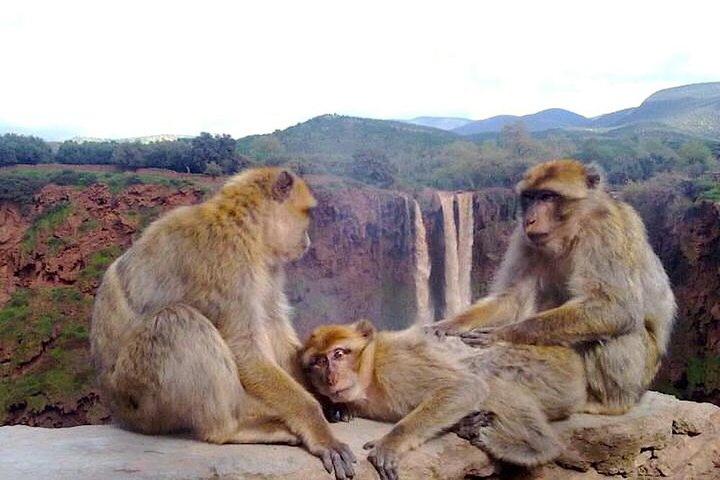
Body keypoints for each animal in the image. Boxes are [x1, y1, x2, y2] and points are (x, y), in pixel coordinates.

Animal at [91, 168, 356, 480]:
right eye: (307, 213)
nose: (307, 240)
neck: (245, 227)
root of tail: (115, 406)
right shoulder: (227, 261)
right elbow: (244, 347)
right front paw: (318, 426)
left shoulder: (267, 268)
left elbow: (274, 326)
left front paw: (327, 400)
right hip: (140, 400)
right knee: (176, 322)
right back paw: (231, 430)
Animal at [300, 318, 588, 480]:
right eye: (318, 362)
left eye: (339, 354)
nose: (331, 379)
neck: (369, 376)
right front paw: (339, 410)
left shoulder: (396, 364)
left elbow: (464, 386)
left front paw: (391, 442)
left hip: (550, 373)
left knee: (485, 376)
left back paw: (537, 447)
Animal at [430, 158, 676, 416]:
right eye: (530, 197)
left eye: (547, 197)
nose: (529, 219)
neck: (574, 228)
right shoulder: (524, 238)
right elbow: (511, 298)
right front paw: (450, 323)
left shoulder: (604, 230)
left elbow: (615, 307)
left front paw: (505, 333)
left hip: (641, 375)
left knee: (616, 332)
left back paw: (609, 404)